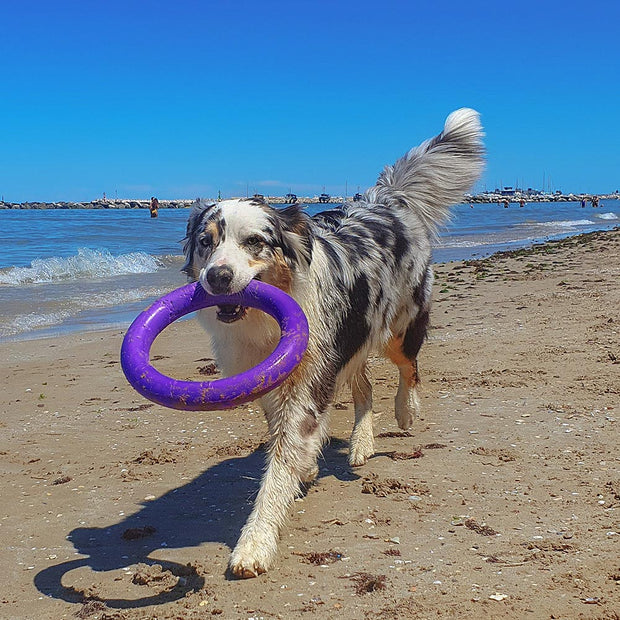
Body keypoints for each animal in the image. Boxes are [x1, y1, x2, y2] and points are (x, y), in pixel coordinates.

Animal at [182, 109, 482, 580]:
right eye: (205, 242)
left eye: (255, 242)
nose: (218, 277)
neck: (265, 321)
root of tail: (384, 202)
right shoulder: (271, 373)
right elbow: (283, 434)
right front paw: (306, 465)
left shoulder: (310, 376)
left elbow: (282, 460)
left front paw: (255, 543)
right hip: (353, 336)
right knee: (365, 385)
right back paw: (361, 443)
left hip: (397, 328)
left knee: (409, 367)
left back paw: (405, 411)